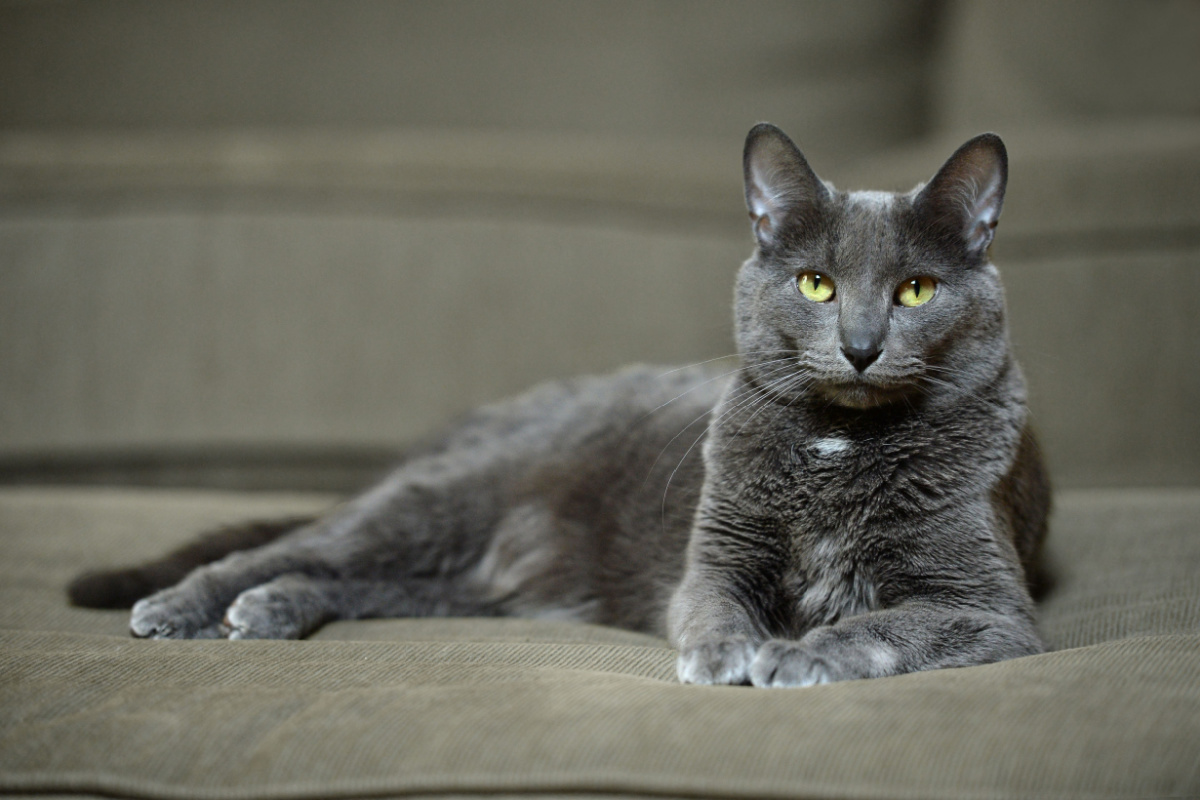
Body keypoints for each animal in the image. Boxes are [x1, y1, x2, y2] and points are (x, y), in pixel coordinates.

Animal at [72, 123, 1051, 690]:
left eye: (916, 290)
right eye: (817, 283)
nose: (859, 344)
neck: (838, 441)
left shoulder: (992, 608)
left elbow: (884, 624)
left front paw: (799, 652)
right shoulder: (715, 556)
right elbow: (713, 607)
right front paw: (728, 654)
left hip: (485, 576)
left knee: (391, 583)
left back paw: (276, 608)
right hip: (444, 498)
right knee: (295, 546)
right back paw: (188, 606)